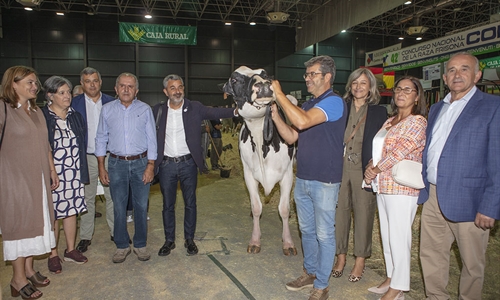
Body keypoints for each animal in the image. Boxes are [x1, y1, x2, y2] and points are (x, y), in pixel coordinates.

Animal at [223, 65, 296, 255]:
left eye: (265, 74)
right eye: (234, 79)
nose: (263, 85)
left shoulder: (287, 174)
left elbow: (283, 209)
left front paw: (288, 243)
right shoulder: (248, 174)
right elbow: (256, 207)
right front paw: (255, 240)